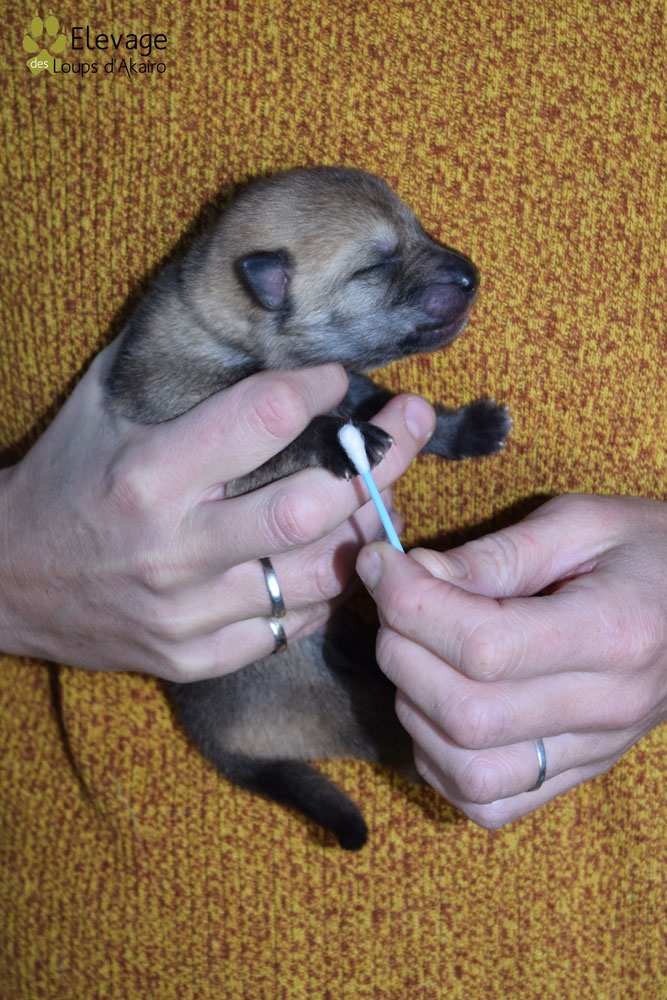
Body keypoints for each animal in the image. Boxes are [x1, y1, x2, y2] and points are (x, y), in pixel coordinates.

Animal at [107, 166, 511, 848]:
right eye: (374, 265)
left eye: (418, 229)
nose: (471, 274)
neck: (216, 324)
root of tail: (215, 745)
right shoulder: (216, 445)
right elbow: (297, 435)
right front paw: (340, 439)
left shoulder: (356, 383)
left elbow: (390, 403)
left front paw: (467, 430)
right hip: (334, 706)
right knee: (385, 738)